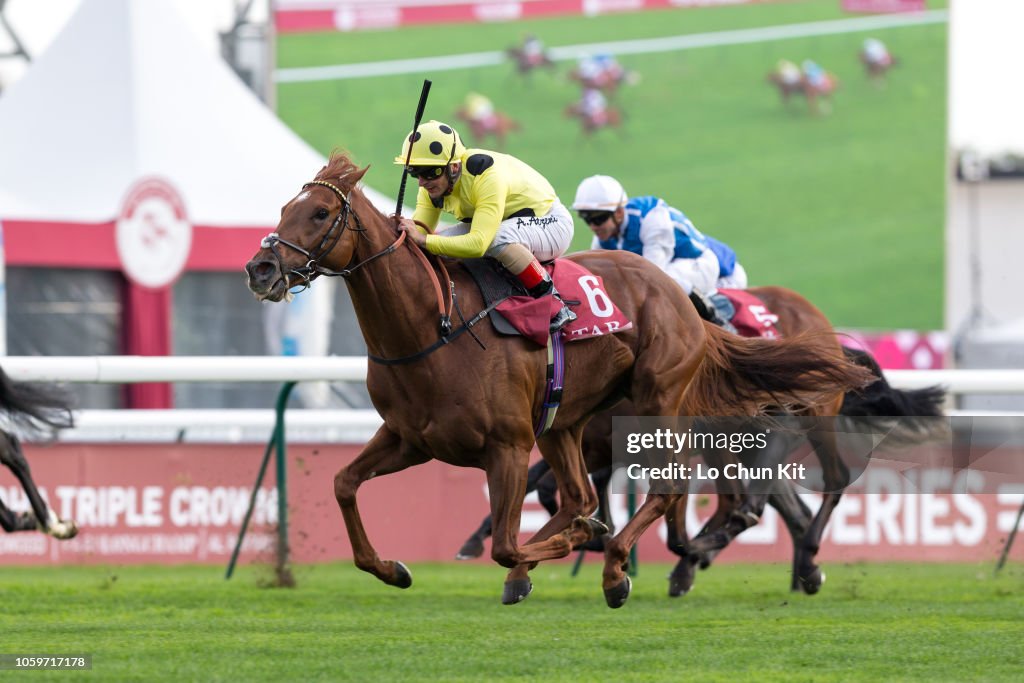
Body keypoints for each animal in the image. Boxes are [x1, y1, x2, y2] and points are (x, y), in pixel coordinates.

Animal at [243, 153, 868, 602]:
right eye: (285, 207)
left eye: (321, 214)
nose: (261, 268)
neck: (432, 327)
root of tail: (682, 299)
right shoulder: (410, 437)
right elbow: (344, 484)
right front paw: (393, 568)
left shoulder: (508, 445)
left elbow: (505, 542)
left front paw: (581, 547)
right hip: (566, 420)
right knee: (581, 494)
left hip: (662, 402)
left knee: (674, 490)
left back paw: (622, 569)